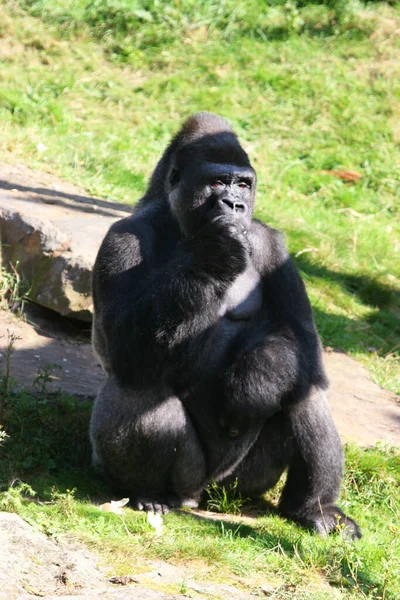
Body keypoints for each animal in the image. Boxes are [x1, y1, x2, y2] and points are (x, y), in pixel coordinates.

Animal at [89, 112, 360, 540]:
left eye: (243, 184)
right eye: (217, 182)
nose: (235, 204)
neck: (178, 223)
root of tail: (202, 497)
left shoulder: (274, 244)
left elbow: (299, 337)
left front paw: (255, 382)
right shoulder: (121, 239)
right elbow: (123, 349)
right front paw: (216, 252)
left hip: (243, 483)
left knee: (303, 386)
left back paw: (314, 508)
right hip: (187, 480)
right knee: (139, 388)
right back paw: (148, 493)